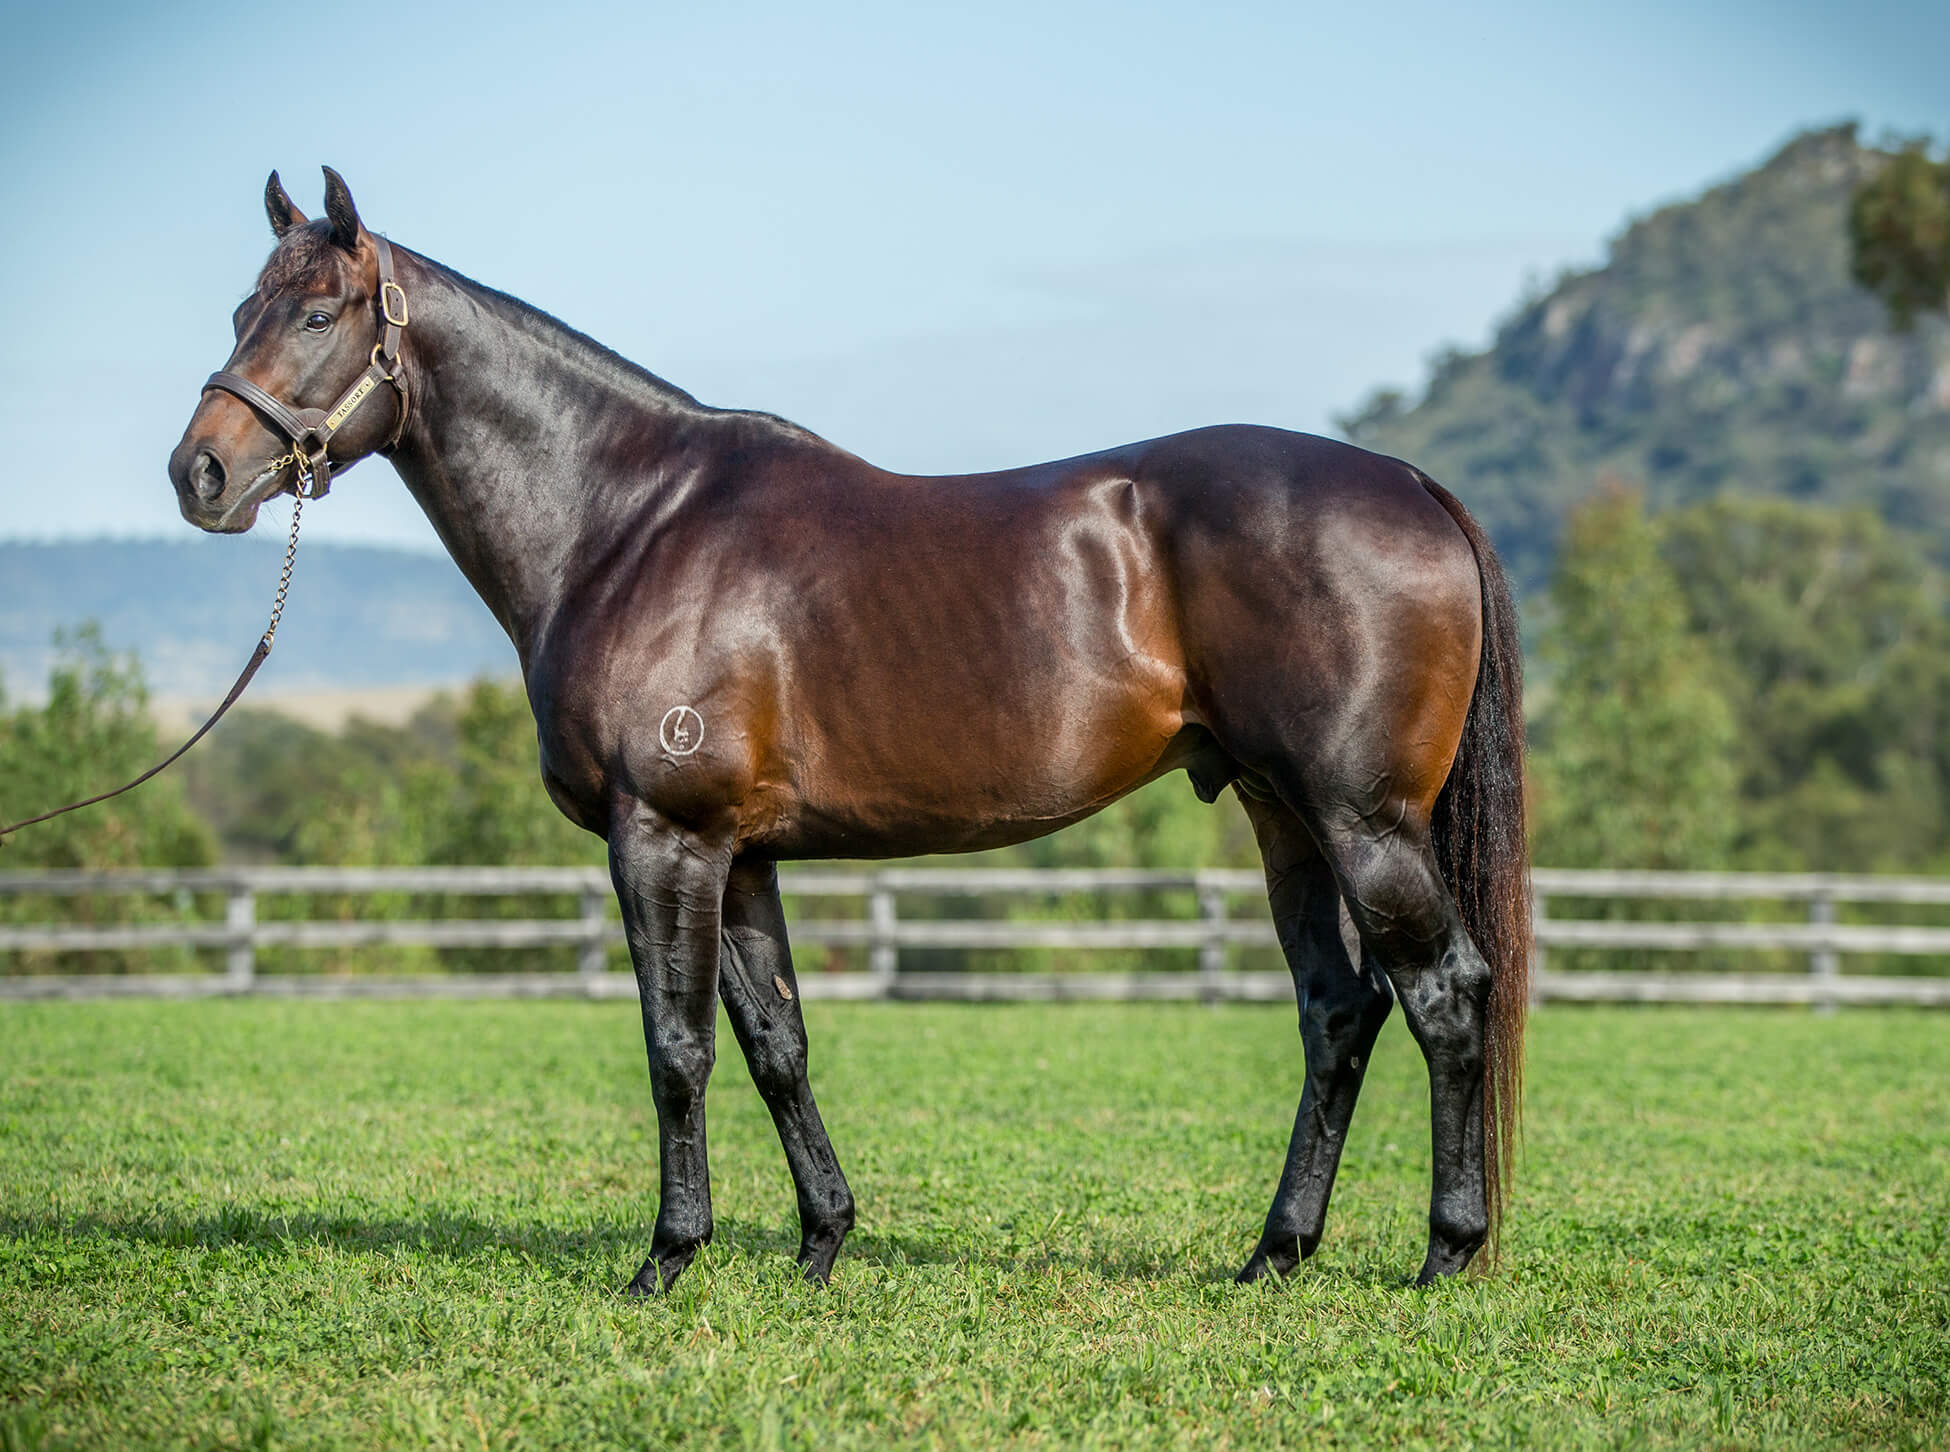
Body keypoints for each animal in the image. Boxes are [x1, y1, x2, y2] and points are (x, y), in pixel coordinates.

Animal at [169, 168, 1530, 1295]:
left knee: (1446, 994)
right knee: (1338, 1012)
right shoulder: (739, 853)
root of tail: (1409, 484)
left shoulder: (661, 839)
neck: (627, 521)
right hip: (1281, 813)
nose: (200, 475)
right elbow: (776, 1042)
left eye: (316, 315)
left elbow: (676, 1048)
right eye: (239, 307)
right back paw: (1274, 1256)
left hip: (1364, 821)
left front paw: (667, 1260)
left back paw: (1444, 1256)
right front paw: (822, 1245)